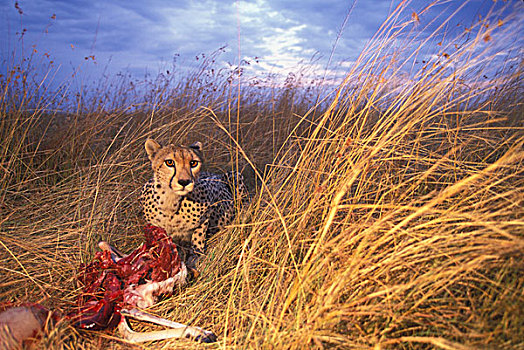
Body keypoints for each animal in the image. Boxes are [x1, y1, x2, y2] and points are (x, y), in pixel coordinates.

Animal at [139, 138, 246, 266]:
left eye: (193, 163)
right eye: (169, 162)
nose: (184, 182)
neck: (171, 202)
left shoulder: (205, 216)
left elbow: (198, 235)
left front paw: (195, 255)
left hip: (235, 175)